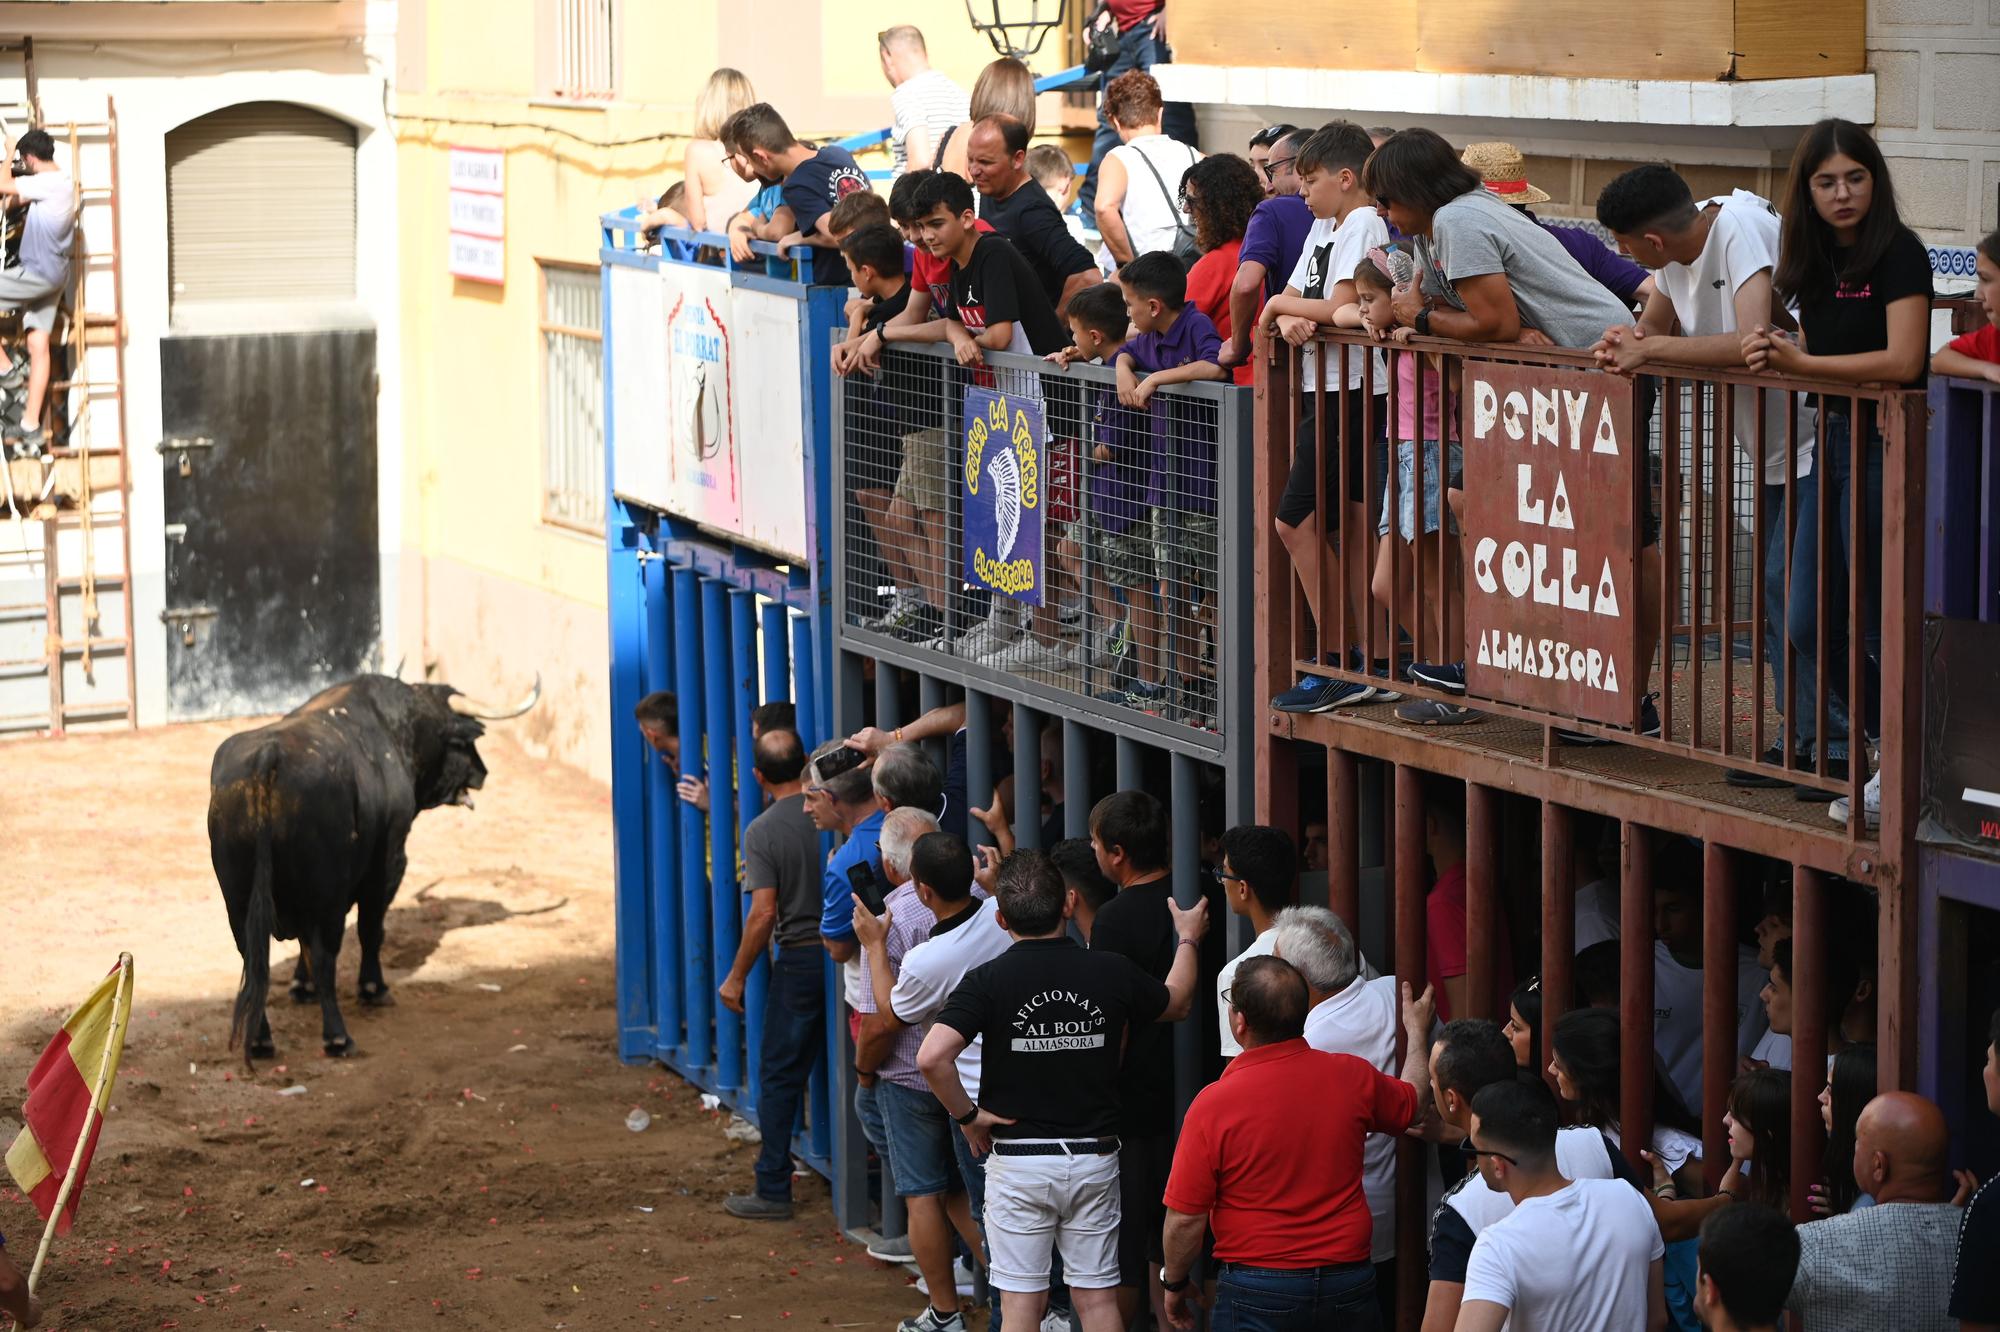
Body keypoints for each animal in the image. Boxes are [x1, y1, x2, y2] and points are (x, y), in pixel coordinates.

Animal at [211, 676, 540, 1056]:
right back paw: (337, 1036)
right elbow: (371, 928)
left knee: (254, 959)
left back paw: (261, 1040)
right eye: (461, 742)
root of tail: (269, 756)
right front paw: (373, 988)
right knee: (324, 954)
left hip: (238, 900)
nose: (482, 773)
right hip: (327, 895)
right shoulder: (390, 860)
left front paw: (301, 988)